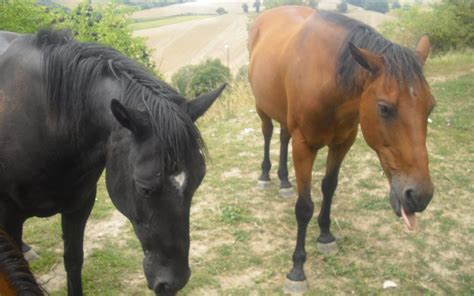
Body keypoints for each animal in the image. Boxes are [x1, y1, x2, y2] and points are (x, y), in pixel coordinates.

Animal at [0, 30, 225, 296]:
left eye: (198, 180)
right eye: (144, 188)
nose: (173, 283)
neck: (43, 122)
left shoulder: (79, 206)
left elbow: (73, 260)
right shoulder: (8, 216)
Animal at [250, 5, 436, 290]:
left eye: (431, 107)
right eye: (384, 108)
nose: (419, 196)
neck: (327, 79)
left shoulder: (343, 142)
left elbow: (329, 187)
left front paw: (325, 235)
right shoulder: (304, 146)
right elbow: (304, 206)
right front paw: (297, 269)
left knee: (282, 137)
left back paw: (283, 180)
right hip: (262, 107)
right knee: (268, 133)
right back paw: (265, 175)